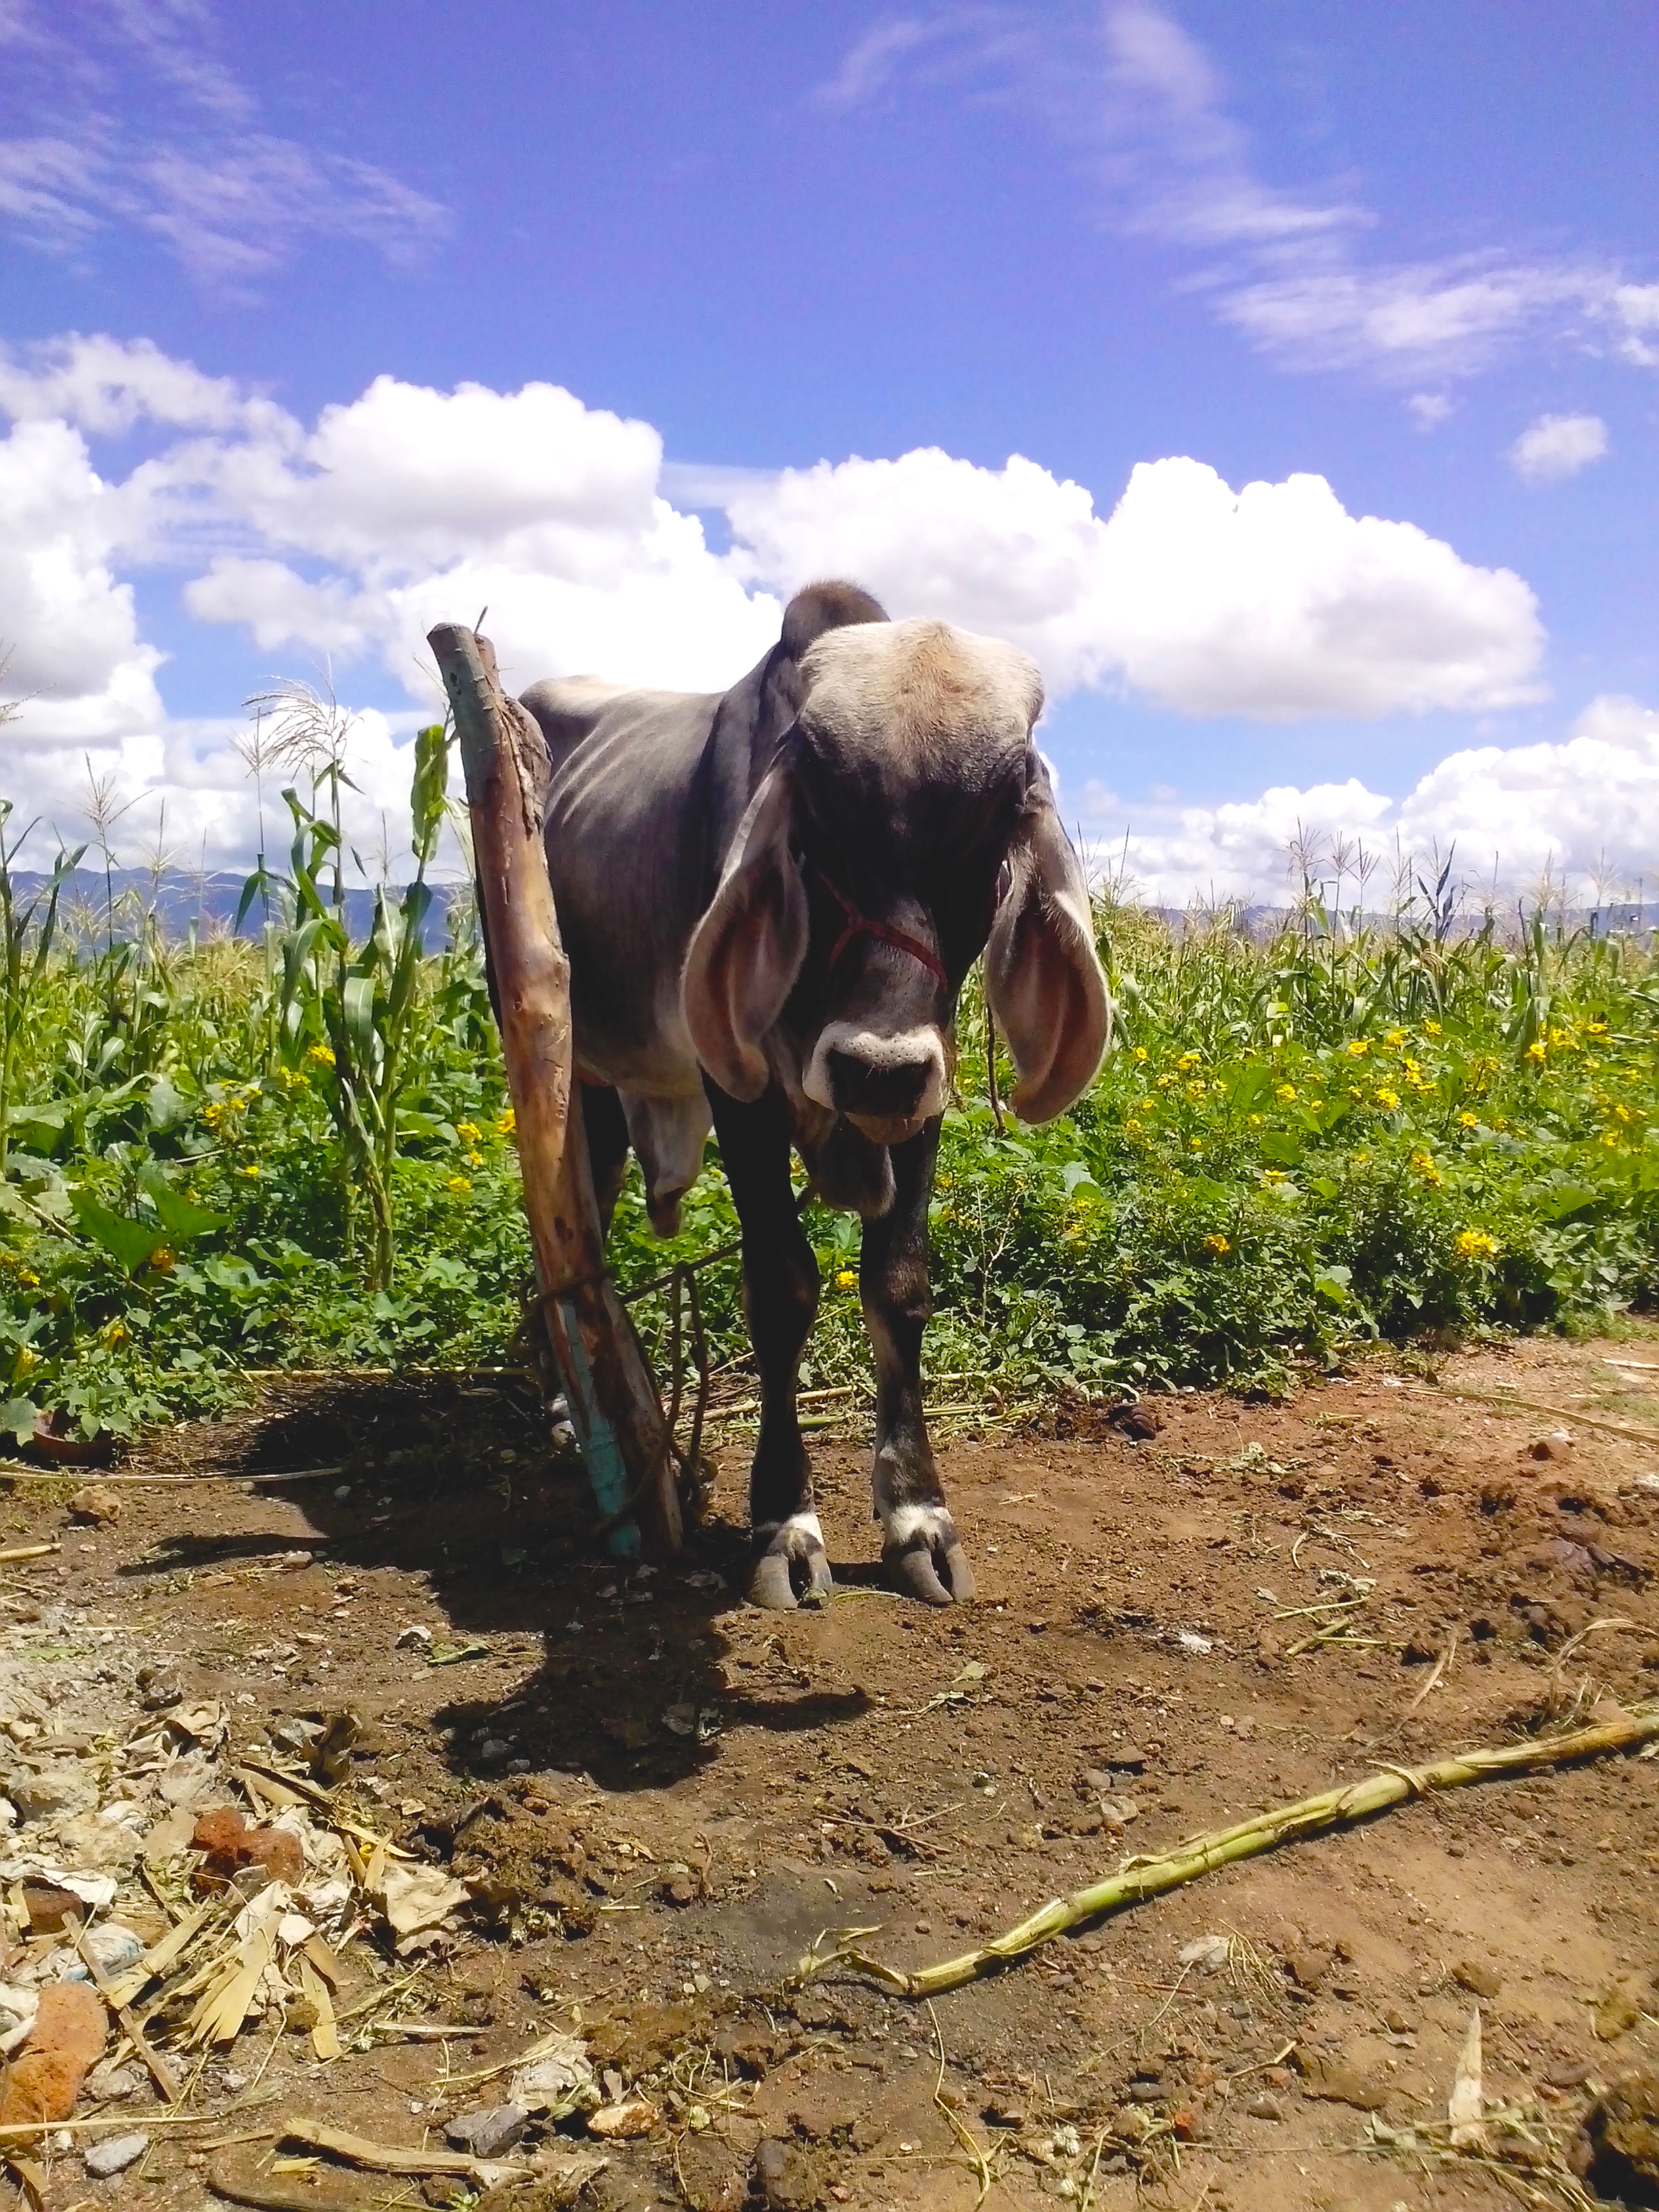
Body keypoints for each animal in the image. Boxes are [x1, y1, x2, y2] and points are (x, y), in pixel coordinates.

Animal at [520, 579, 1110, 1601]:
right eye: (820, 827)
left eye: (996, 823)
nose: (872, 1066)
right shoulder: (740, 1093)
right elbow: (781, 1288)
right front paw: (785, 1523)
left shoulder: (924, 1093)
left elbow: (898, 1286)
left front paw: (918, 1514)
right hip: (578, 1070)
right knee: (573, 1218)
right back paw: (566, 1407)